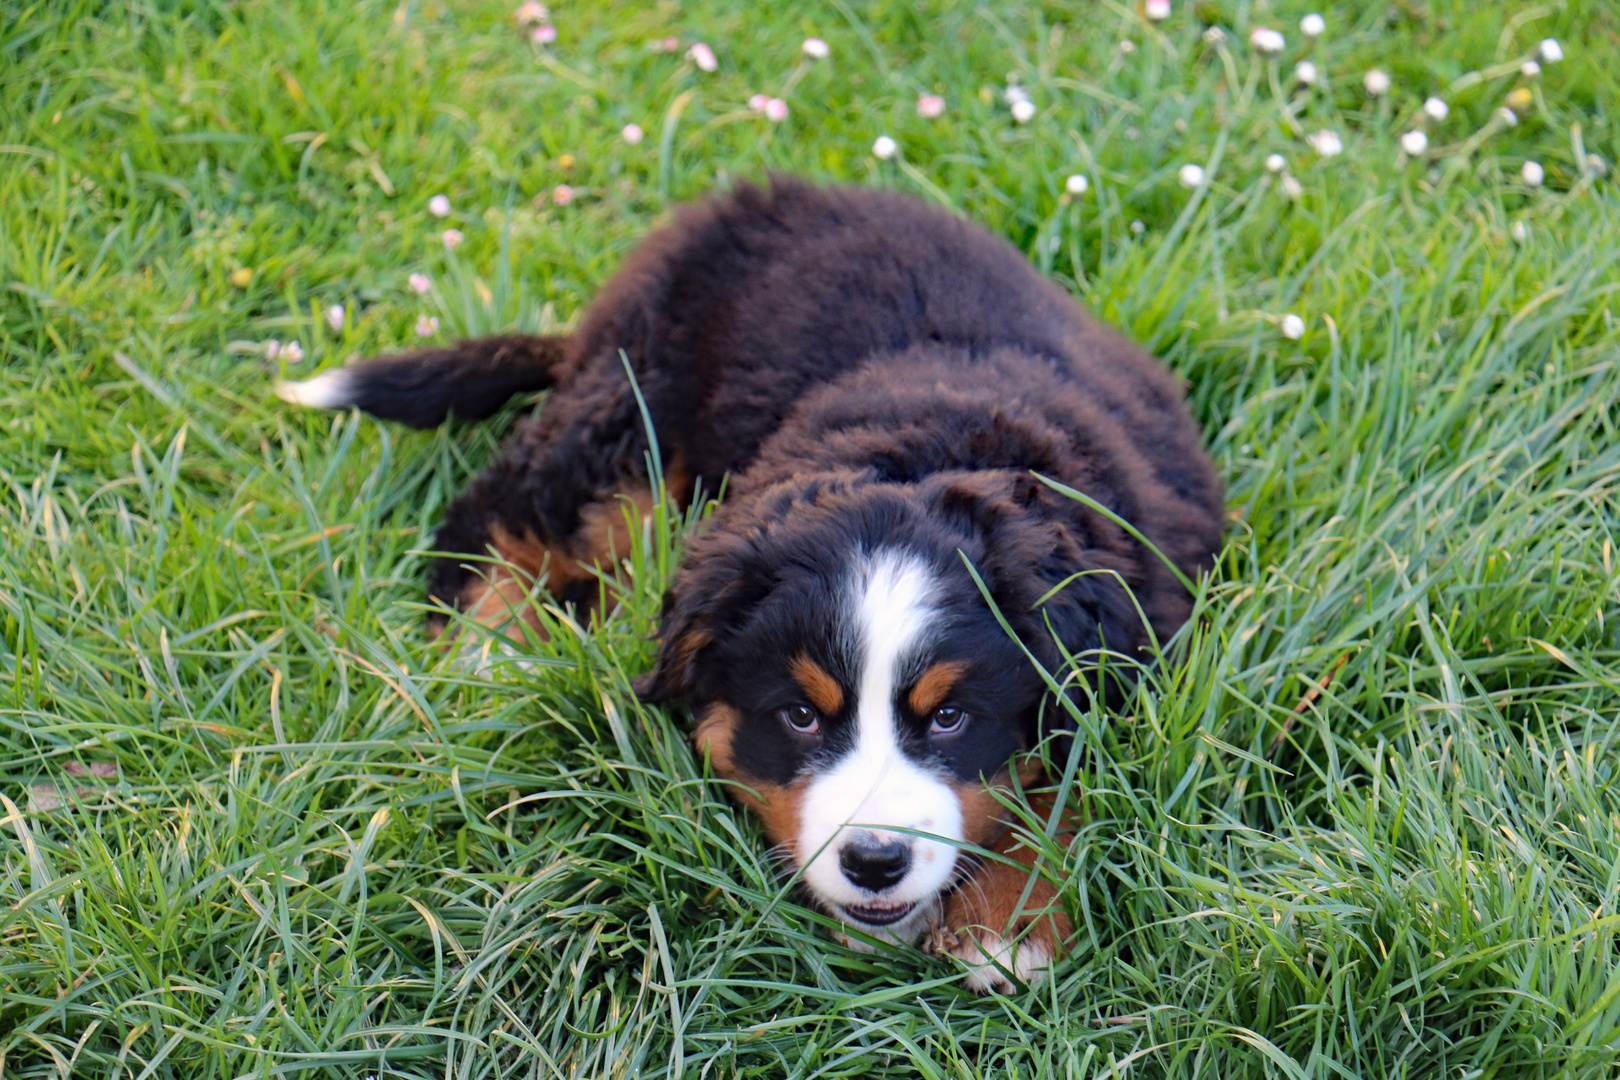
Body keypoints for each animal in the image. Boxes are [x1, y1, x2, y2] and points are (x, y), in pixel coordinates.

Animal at [275, 177, 1218, 997]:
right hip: (631, 415)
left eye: (951, 717)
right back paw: (492, 655)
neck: (924, 447)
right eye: (799, 716)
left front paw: (1008, 920)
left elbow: (1069, 772)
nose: (874, 863)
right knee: (503, 515)